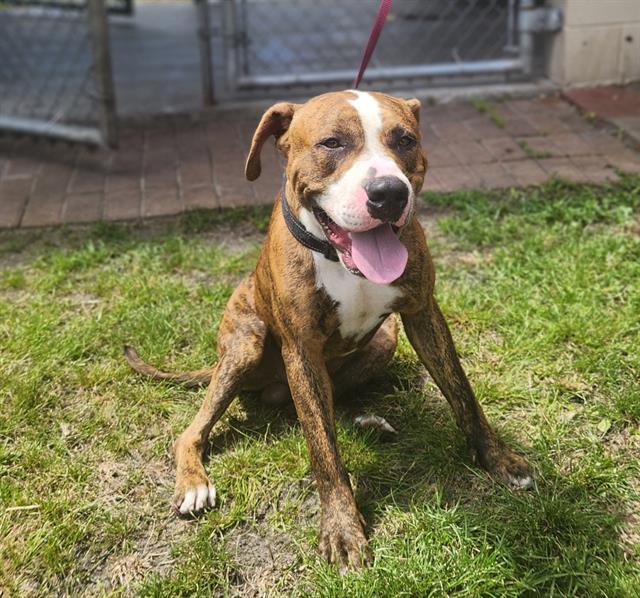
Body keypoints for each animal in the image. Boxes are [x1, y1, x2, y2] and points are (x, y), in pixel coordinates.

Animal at [124, 89, 528, 572]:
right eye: (332, 143)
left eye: (405, 140)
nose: (389, 193)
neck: (340, 258)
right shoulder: (301, 350)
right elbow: (323, 451)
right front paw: (341, 528)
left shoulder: (423, 315)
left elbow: (463, 394)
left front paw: (498, 458)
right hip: (246, 345)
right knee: (194, 431)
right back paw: (194, 483)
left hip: (385, 339)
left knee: (334, 399)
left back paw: (366, 420)